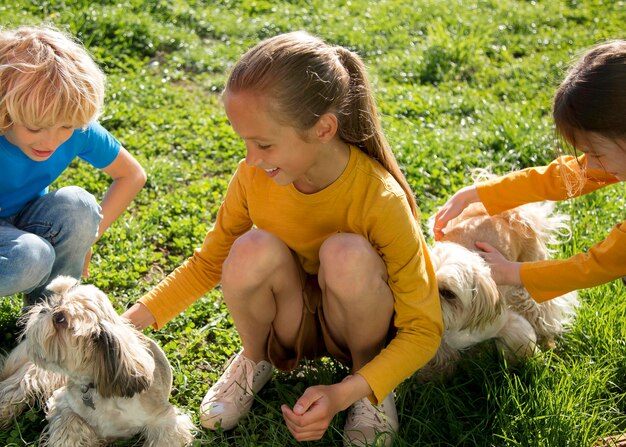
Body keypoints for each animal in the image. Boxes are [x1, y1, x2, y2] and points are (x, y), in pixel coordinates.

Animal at [0, 276, 194, 447]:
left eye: (60, 318)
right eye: (57, 302)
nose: (45, 309)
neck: (94, 387)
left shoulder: (165, 421)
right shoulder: (63, 404)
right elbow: (70, 431)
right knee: (15, 389)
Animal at [422, 201, 576, 380]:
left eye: (448, 293)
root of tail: (510, 215)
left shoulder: (509, 325)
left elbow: (519, 344)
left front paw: (521, 366)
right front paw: (434, 377)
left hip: (527, 286)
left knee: (543, 313)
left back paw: (548, 341)